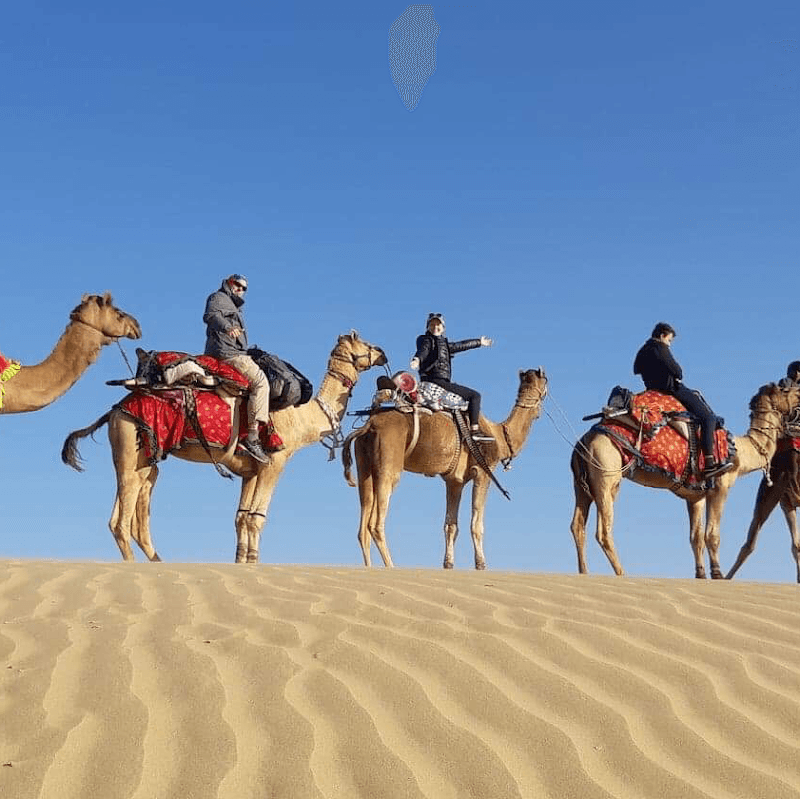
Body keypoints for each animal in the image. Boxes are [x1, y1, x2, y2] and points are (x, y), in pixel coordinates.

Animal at [62, 332, 387, 563]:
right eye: (366, 344)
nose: (383, 353)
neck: (303, 416)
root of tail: (114, 410)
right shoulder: (275, 462)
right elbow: (256, 519)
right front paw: (253, 561)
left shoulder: (251, 471)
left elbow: (241, 518)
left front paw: (241, 559)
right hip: (131, 448)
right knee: (120, 522)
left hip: (142, 459)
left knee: (133, 513)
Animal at [341, 368, 548, 569]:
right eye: (545, 384)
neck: (499, 437)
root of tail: (369, 425)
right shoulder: (484, 472)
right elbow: (476, 524)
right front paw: (481, 564)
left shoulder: (454, 481)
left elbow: (451, 525)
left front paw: (448, 563)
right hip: (389, 465)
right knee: (376, 524)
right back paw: (392, 566)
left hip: (364, 466)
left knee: (363, 526)